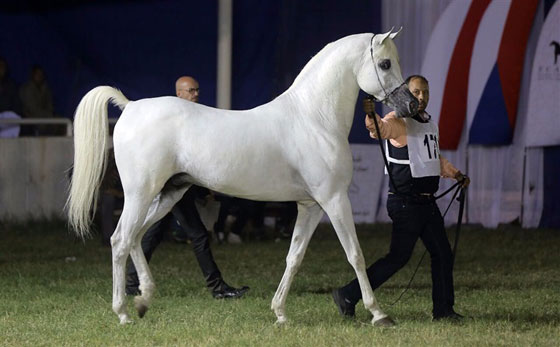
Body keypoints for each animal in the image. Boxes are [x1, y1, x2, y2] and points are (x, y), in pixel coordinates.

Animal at [65, 29, 418, 326]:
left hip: (168, 194)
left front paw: (280, 313)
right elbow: (355, 255)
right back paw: (124, 313)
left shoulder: (310, 206)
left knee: (137, 238)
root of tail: (131, 106)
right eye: (385, 63)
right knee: (120, 240)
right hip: (140, 194)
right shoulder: (334, 200)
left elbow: (294, 257)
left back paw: (143, 300)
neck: (314, 119)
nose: (411, 105)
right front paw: (378, 314)